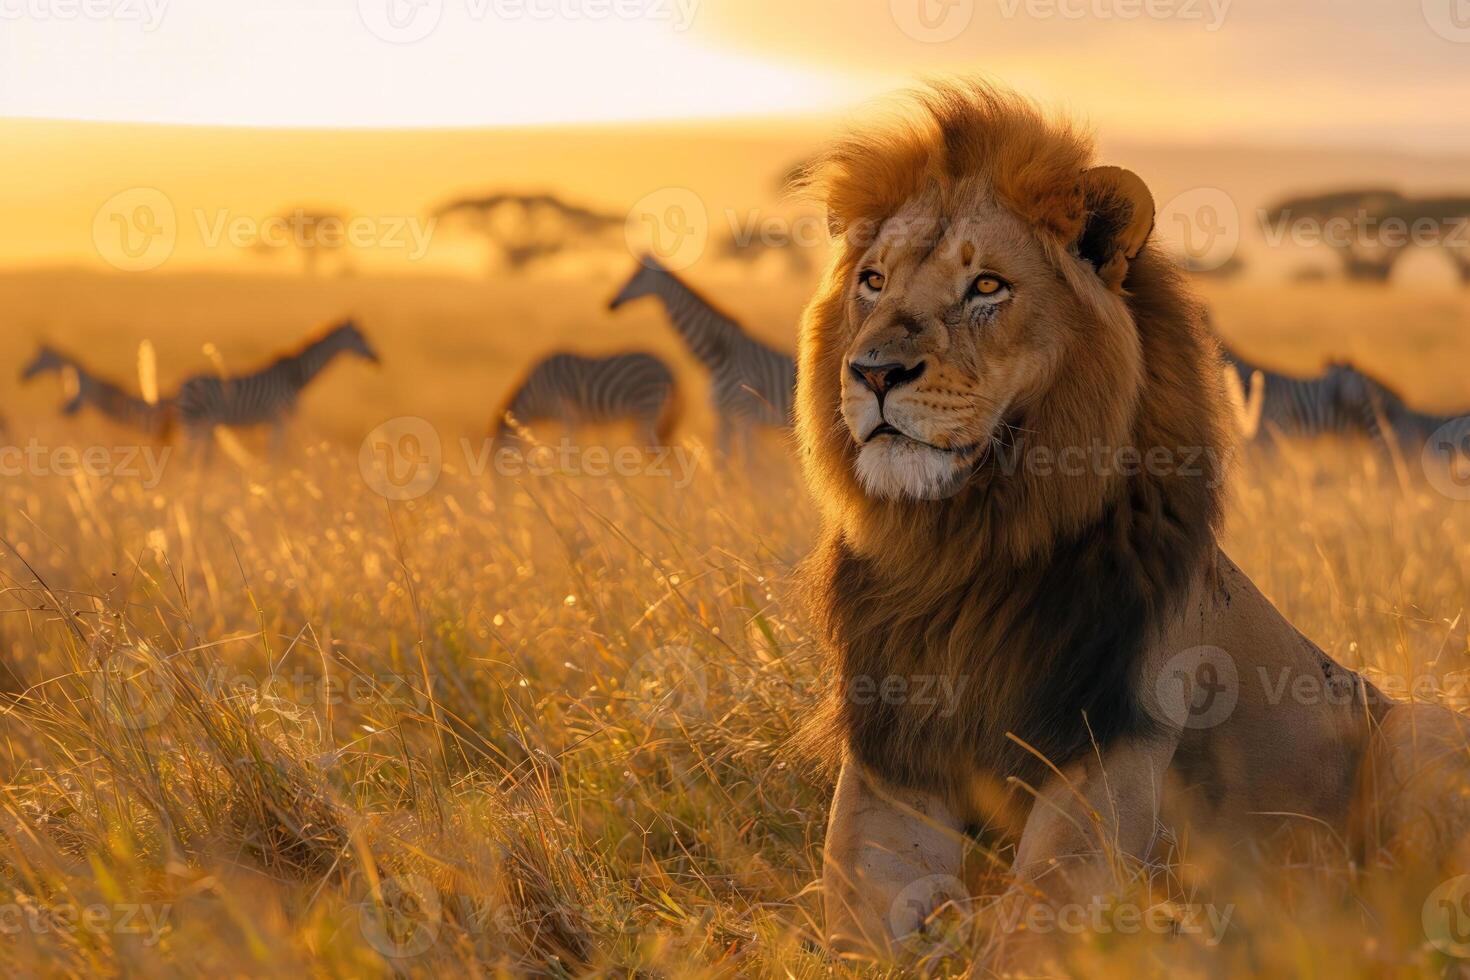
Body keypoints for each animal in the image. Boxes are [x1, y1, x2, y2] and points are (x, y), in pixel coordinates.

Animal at [175, 318, 379, 449]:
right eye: (359, 336)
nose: (377, 358)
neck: (295, 376)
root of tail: (183, 382)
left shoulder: (275, 422)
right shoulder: (280, 420)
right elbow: (276, 459)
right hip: (193, 424)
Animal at [490, 351, 679, 446]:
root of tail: (666, 368)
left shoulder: (564, 413)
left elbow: (567, 446)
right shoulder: (577, 421)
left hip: (646, 406)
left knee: (644, 442)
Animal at [605, 258, 793, 461]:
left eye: (636, 276)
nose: (611, 303)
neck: (719, 358)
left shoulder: (745, 416)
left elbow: (749, 462)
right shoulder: (722, 416)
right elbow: (722, 459)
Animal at [799, 80, 1470, 963]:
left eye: (988, 289)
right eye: (873, 281)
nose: (874, 372)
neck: (969, 550)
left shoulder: (1110, 751)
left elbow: (1029, 928)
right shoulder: (890, 762)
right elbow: (857, 930)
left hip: (1419, 728)